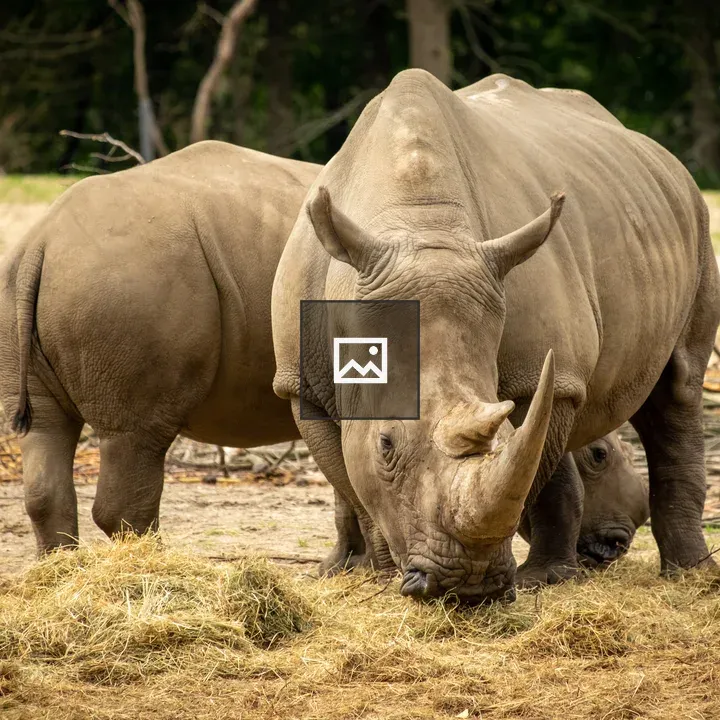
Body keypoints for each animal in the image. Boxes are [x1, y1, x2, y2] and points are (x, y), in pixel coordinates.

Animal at [0, 140, 648, 567]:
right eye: (600, 458)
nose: (617, 544)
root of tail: (41, 240)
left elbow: (348, 482)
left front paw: (342, 567)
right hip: (125, 277)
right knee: (136, 435)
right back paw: (151, 572)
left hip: (37, 285)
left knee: (49, 429)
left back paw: (64, 575)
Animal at [272, 70, 719, 602]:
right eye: (386, 445)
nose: (463, 585)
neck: (419, 225)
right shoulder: (303, 384)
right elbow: (349, 482)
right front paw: (377, 574)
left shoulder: (542, 373)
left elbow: (538, 465)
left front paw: (539, 581)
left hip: (696, 219)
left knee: (677, 386)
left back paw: (687, 576)